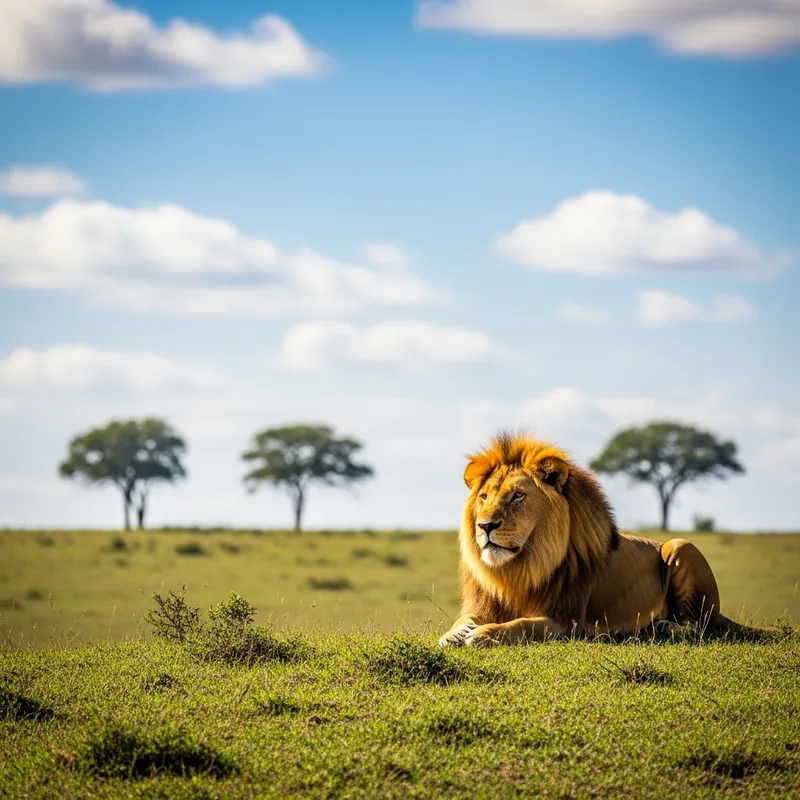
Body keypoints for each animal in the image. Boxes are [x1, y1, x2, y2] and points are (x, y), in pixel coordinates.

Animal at [439, 432, 747, 648]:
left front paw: (484, 634)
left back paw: (664, 627)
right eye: (484, 497)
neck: (520, 568)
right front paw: (455, 634)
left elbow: (521, 625)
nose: (485, 526)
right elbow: (462, 619)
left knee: (700, 625)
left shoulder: (567, 622)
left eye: (517, 496)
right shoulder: (482, 605)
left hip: (680, 546)